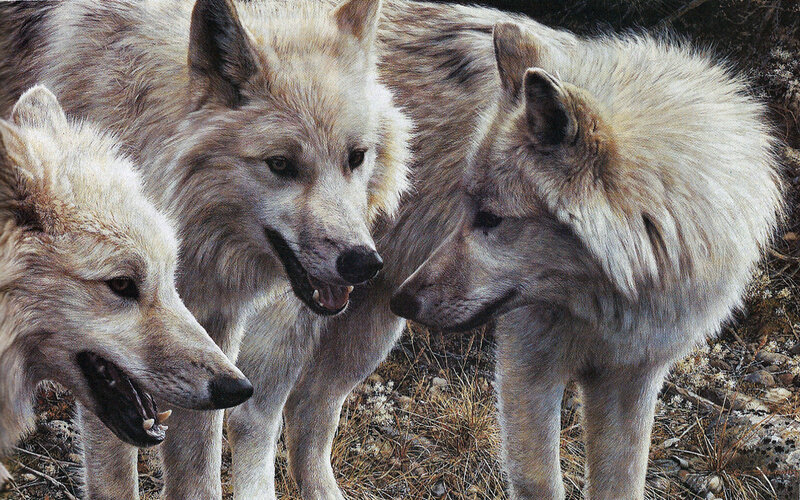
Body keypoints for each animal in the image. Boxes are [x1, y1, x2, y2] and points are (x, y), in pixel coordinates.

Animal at [229, 2, 782, 500]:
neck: (614, 298)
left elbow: (622, 485)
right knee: (251, 417)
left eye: (491, 219)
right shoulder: (527, 363)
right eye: (466, 207)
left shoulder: (633, 378)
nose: (406, 299)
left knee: (308, 411)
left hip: (368, 331)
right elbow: (541, 482)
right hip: (295, 325)